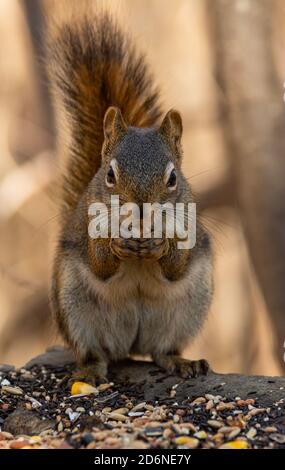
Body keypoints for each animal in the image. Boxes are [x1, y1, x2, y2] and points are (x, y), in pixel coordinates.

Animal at [46, 5, 212, 384]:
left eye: (172, 178)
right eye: (109, 175)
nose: (140, 209)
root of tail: (130, 344)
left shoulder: (189, 227)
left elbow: (176, 267)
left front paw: (160, 245)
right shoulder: (86, 229)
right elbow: (100, 265)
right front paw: (116, 244)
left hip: (188, 306)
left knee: (161, 350)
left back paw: (180, 361)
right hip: (74, 306)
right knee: (95, 351)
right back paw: (91, 370)